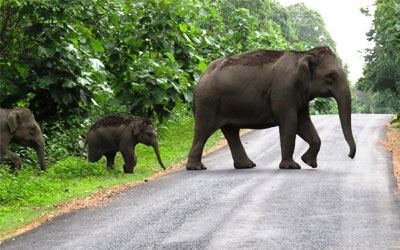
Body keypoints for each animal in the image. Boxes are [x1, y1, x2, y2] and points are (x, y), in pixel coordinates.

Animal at [187, 47, 356, 170]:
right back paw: (197, 168)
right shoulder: (284, 90)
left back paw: (247, 165)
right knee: (203, 131)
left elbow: (303, 123)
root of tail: (201, 77)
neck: (303, 53)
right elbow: (290, 122)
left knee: (231, 132)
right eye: (331, 76)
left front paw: (308, 163)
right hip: (208, 101)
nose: (349, 156)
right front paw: (291, 166)